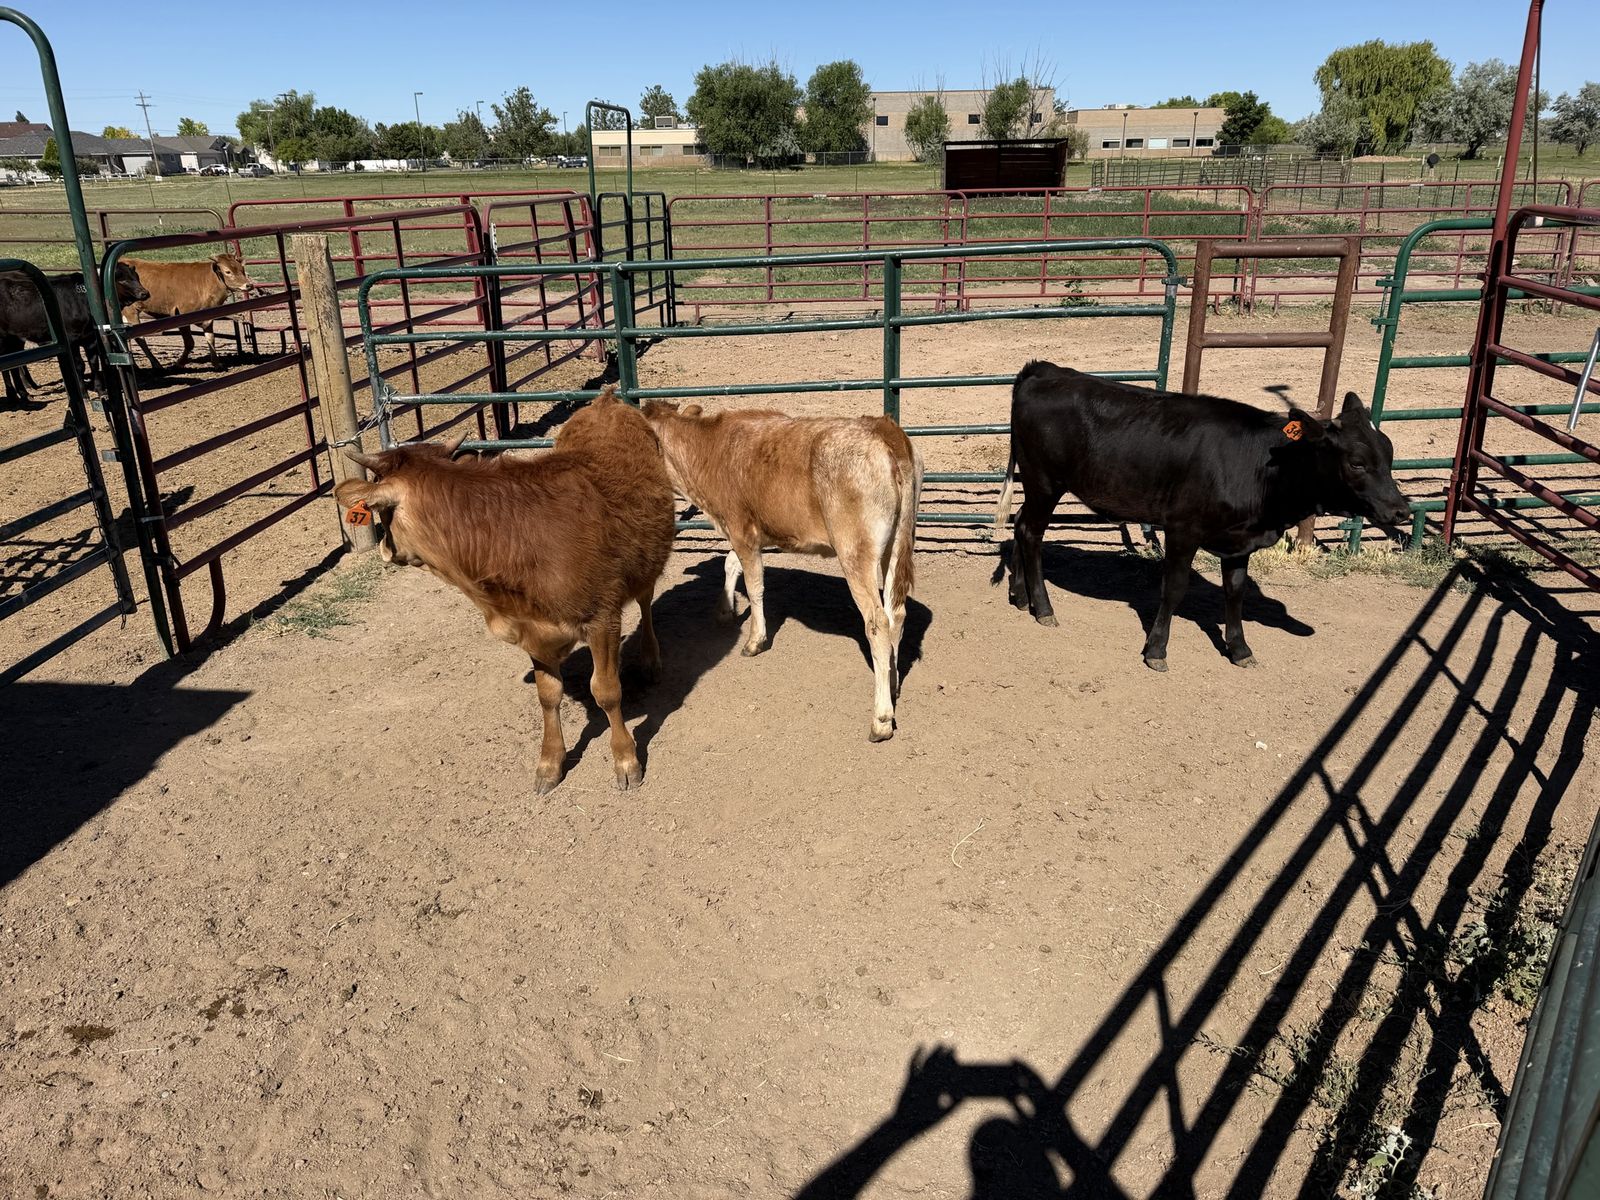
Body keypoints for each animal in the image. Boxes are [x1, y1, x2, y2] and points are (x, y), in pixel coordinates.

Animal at [0, 263, 148, 401]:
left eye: (136, 277)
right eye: (123, 280)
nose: (145, 293)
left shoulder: (90, 339)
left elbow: (93, 363)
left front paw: (101, 391)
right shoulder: (72, 341)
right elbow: (79, 366)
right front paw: (84, 394)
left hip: (14, 338)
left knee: (14, 366)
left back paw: (24, 393)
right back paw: (13, 394)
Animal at [122, 252, 257, 371]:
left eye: (241, 269)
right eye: (228, 271)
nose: (249, 285)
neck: (207, 282)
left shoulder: (208, 317)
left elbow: (211, 339)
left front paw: (217, 364)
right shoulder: (180, 315)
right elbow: (189, 343)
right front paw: (179, 363)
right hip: (131, 311)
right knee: (140, 338)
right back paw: (156, 364)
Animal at [334, 386, 676, 795]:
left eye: (383, 513)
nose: (387, 550)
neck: (508, 534)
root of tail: (607, 400)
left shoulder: (602, 618)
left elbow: (607, 691)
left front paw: (625, 759)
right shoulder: (531, 628)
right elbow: (548, 695)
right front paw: (550, 762)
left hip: (648, 559)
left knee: (646, 600)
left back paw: (651, 660)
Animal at [641, 402, 923, 743]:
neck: (710, 451)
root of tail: (883, 427)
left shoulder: (741, 527)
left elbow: (755, 585)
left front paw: (755, 640)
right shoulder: (753, 531)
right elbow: (730, 564)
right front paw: (725, 609)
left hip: (856, 552)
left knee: (878, 623)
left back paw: (880, 719)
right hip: (895, 545)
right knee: (897, 614)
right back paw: (892, 685)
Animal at [994, 361, 1411, 671]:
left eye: (1389, 453)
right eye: (1357, 462)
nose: (1401, 510)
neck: (1260, 467)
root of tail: (1045, 369)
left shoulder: (1240, 541)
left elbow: (1236, 592)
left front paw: (1240, 649)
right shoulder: (1183, 529)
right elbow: (1175, 588)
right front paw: (1156, 650)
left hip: (1036, 485)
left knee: (1021, 526)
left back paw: (1021, 597)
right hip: (1045, 482)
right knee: (1031, 532)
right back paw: (1044, 607)